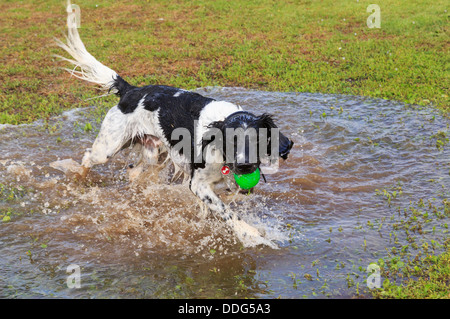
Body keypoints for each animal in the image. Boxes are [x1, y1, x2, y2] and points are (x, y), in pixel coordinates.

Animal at [54, 1, 294, 248]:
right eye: (231, 141)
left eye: (257, 140)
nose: (245, 166)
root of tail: (131, 90)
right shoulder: (198, 184)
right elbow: (226, 211)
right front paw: (249, 234)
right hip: (109, 147)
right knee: (87, 157)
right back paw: (78, 179)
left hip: (156, 153)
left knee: (134, 172)